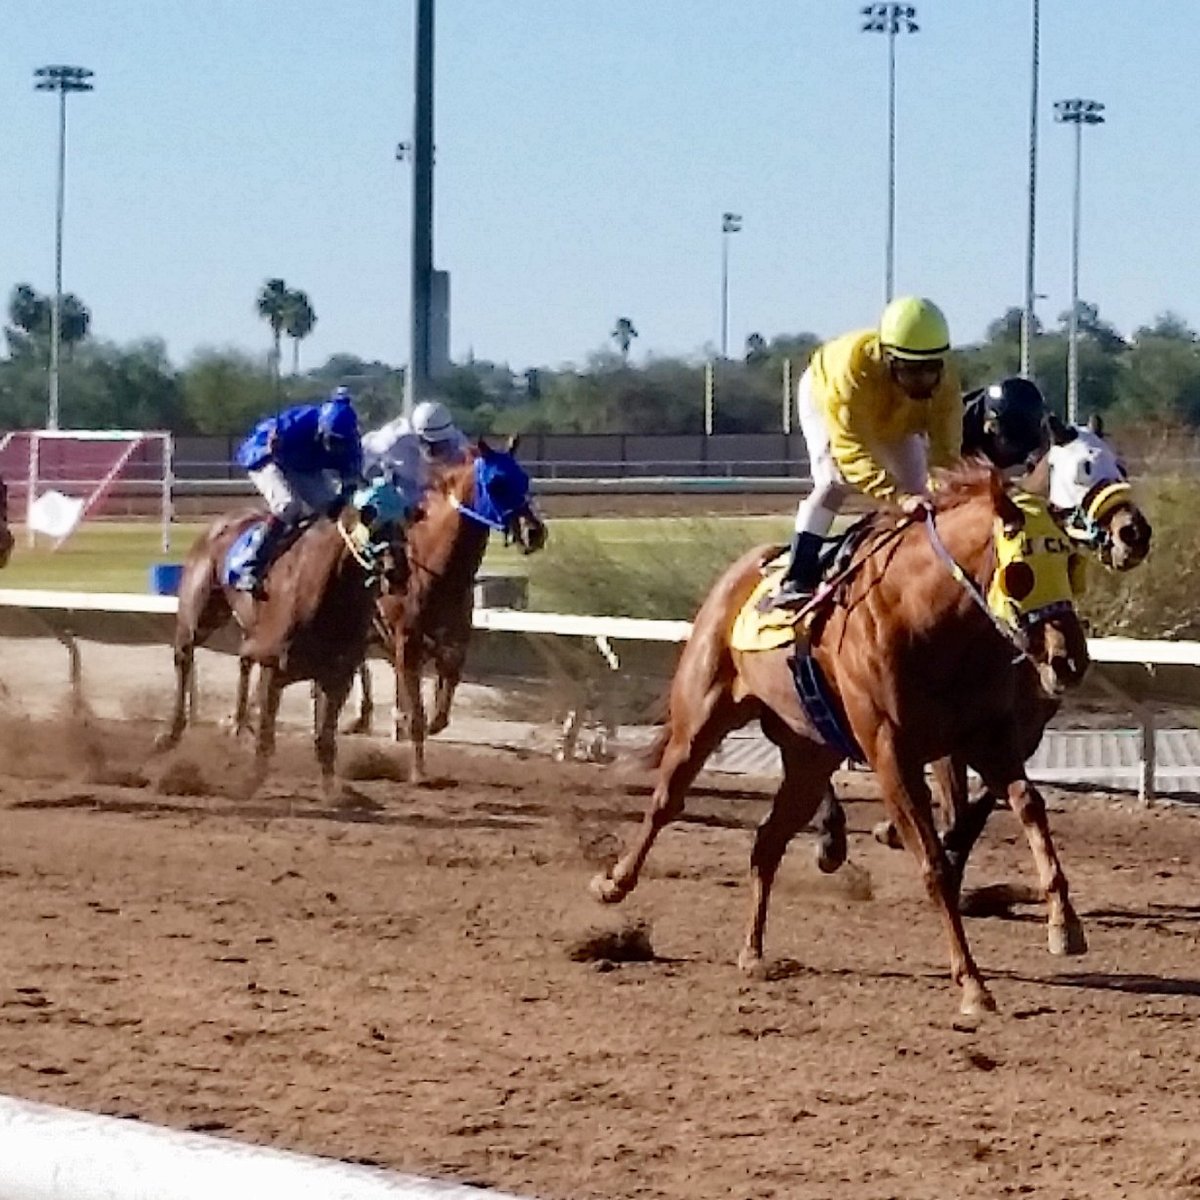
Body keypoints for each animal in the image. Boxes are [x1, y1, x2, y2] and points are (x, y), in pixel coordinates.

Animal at [154, 477, 412, 796]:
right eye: (370, 516)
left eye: (404, 517)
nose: (398, 572)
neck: (328, 595)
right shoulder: (273, 667)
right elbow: (266, 735)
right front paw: (249, 782)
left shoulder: (337, 676)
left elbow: (325, 738)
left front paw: (335, 791)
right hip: (199, 613)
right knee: (184, 656)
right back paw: (172, 734)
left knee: (241, 660)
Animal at [595, 463, 1094, 1017]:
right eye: (1020, 570)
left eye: (1071, 561)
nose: (1070, 660)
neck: (928, 618)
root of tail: (741, 571)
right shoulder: (891, 753)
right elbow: (935, 864)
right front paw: (972, 983)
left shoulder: (989, 737)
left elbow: (1029, 804)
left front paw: (1065, 924)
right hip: (701, 716)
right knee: (667, 801)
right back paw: (614, 884)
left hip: (811, 756)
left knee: (767, 841)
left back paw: (753, 953)